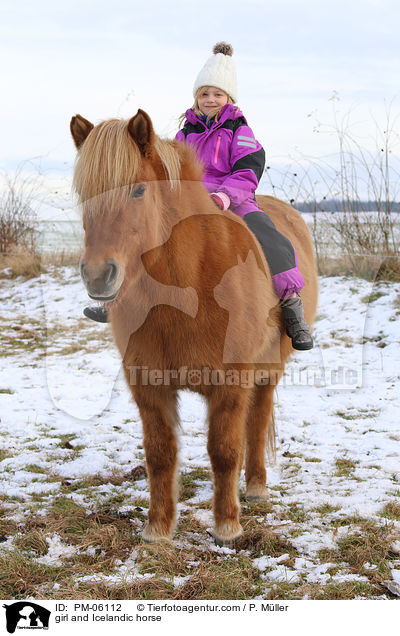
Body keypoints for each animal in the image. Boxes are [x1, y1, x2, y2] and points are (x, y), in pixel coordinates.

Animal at [70, 109, 318, 548]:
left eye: (138, 190)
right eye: (85, 195)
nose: (98, 276)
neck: (187, 288)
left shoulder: (231, 382)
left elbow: (224, 450)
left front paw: (227, 527)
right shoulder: (148, 385)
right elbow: (160, 453)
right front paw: (157, 529)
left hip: (268, 369)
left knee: (257, 424)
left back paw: (255, 486)